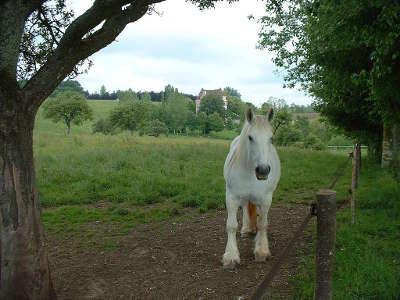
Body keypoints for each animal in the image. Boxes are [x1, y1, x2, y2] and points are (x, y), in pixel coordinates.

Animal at [222, 108, 282, 270]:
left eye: (271, 138)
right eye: (250, 137)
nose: (263, 170)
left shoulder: (266, 199)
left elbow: (262, 223)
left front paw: (261, 250)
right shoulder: (232, 197)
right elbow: (231, 225)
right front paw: (231, 256)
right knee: (245, 207)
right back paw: (247, 229)